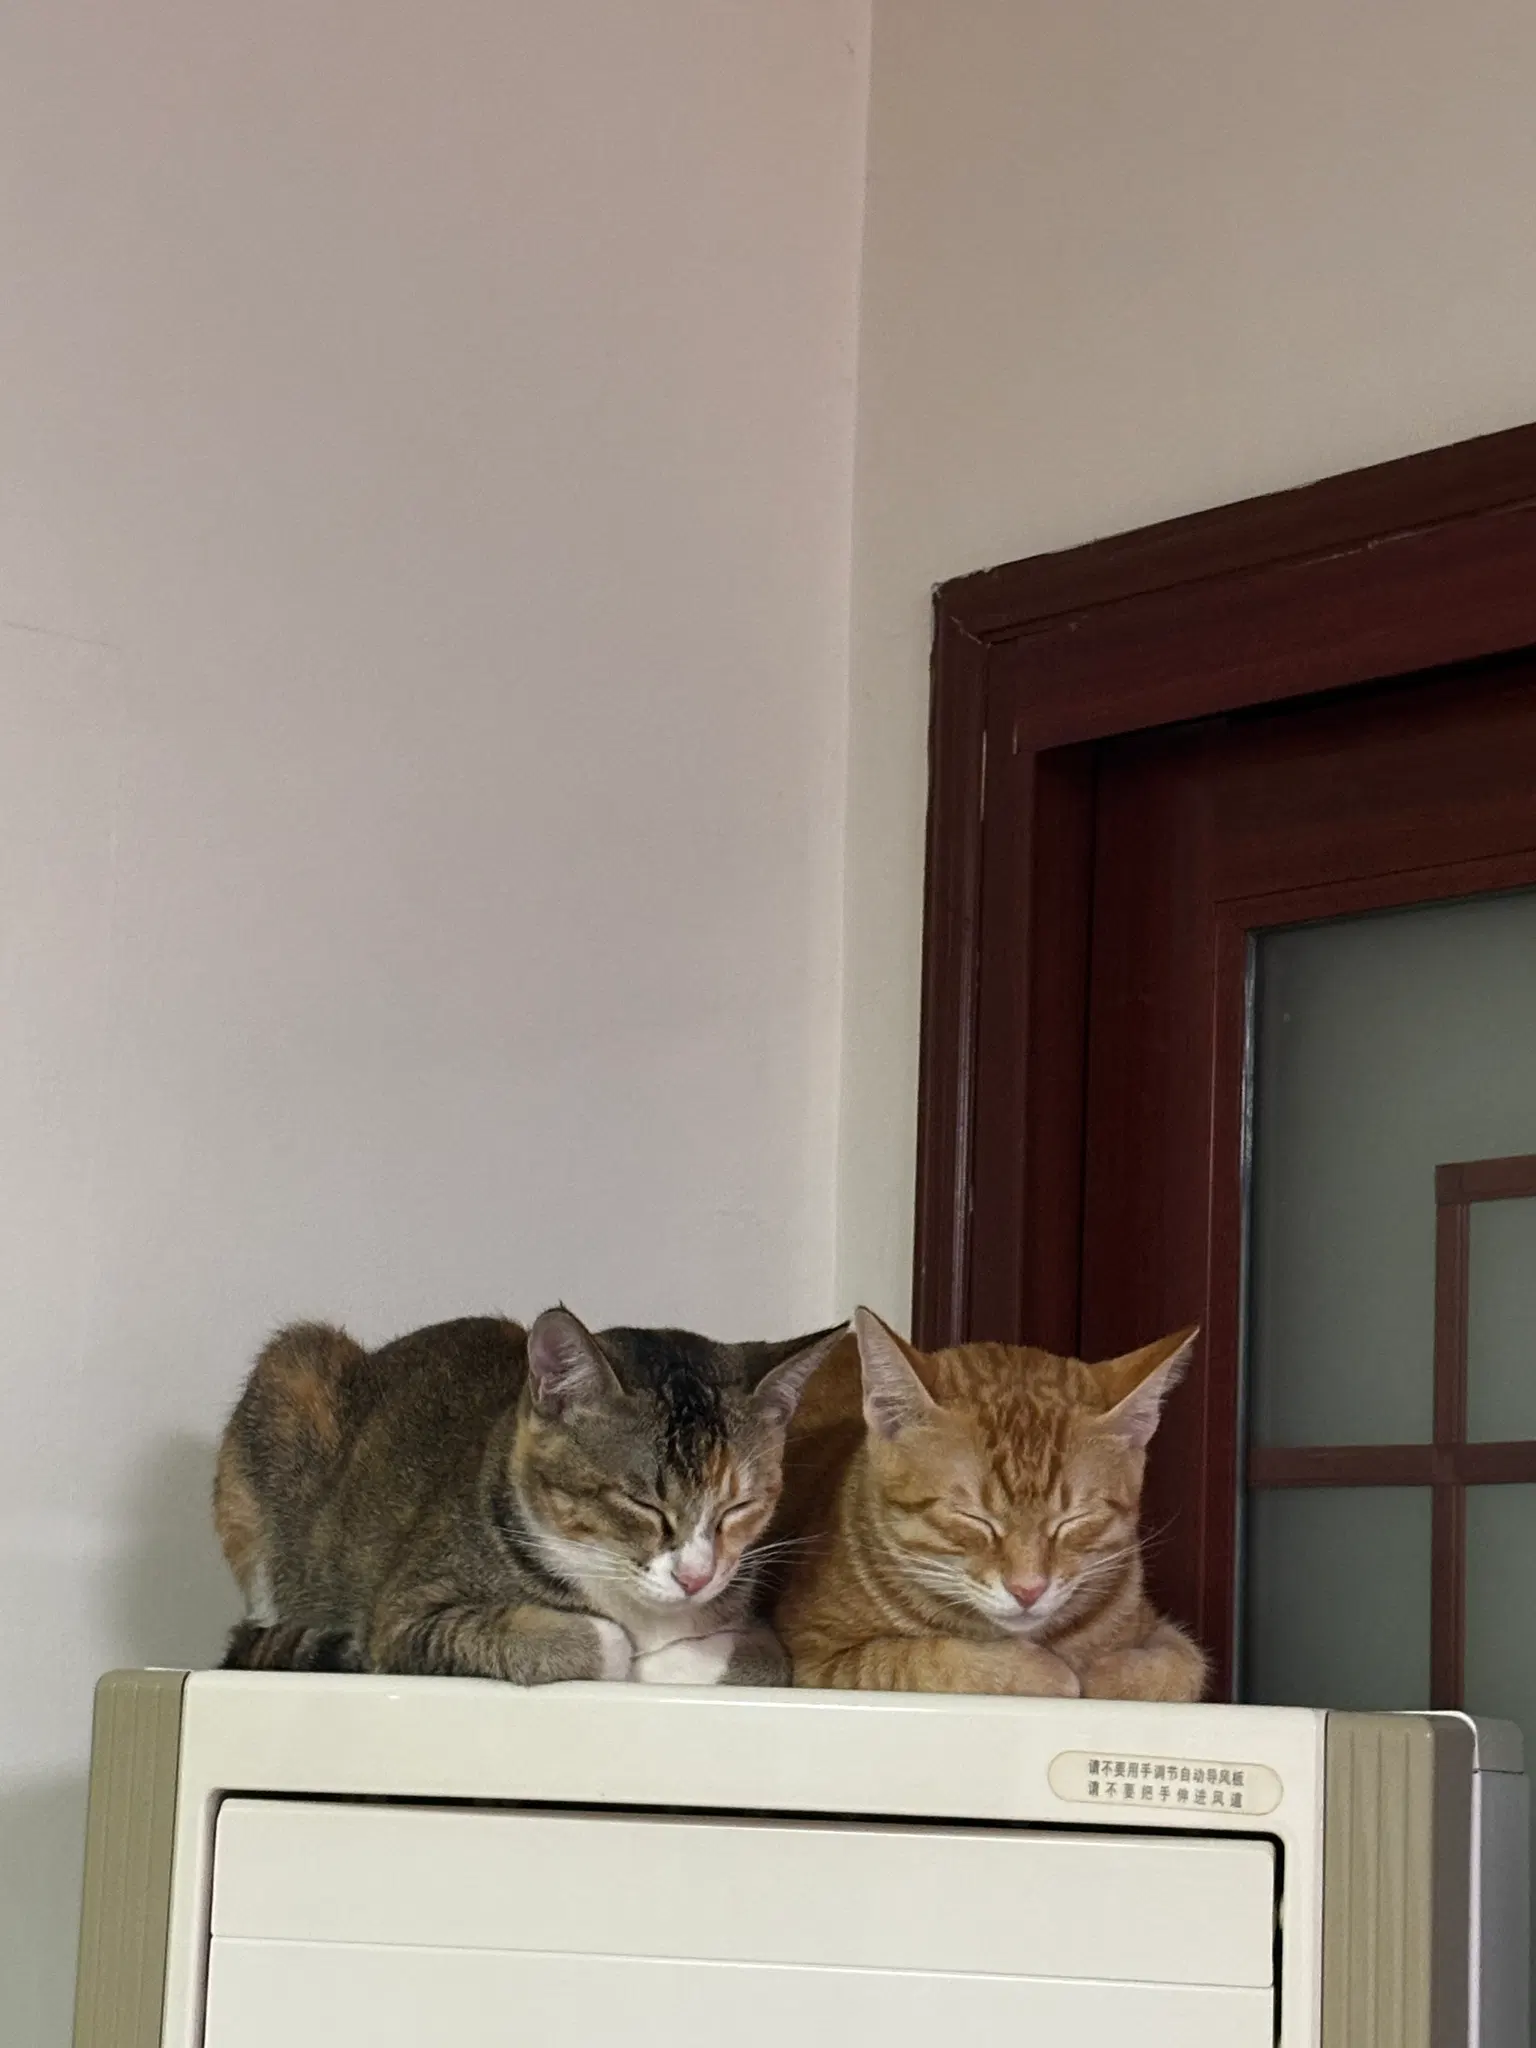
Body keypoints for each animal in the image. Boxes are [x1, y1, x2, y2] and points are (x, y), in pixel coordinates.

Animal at [214, 1306, 844, 1687]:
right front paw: (623, 1651)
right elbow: (604, 1640)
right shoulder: (402, 1620)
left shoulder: (759, 1627)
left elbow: (752, 1658)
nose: (696, 1577)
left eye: (739, 1506)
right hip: (289, 1370)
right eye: (642, 1502)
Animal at [770, 1308, 1207, 1701]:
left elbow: (1177, 1667)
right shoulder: (817, 1657)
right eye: (973, 1519)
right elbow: (925, 1660)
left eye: (1073, 1521)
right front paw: (1049, 1672)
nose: (1028, 1591)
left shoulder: (1166, 1635)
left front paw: (1099, 1671)